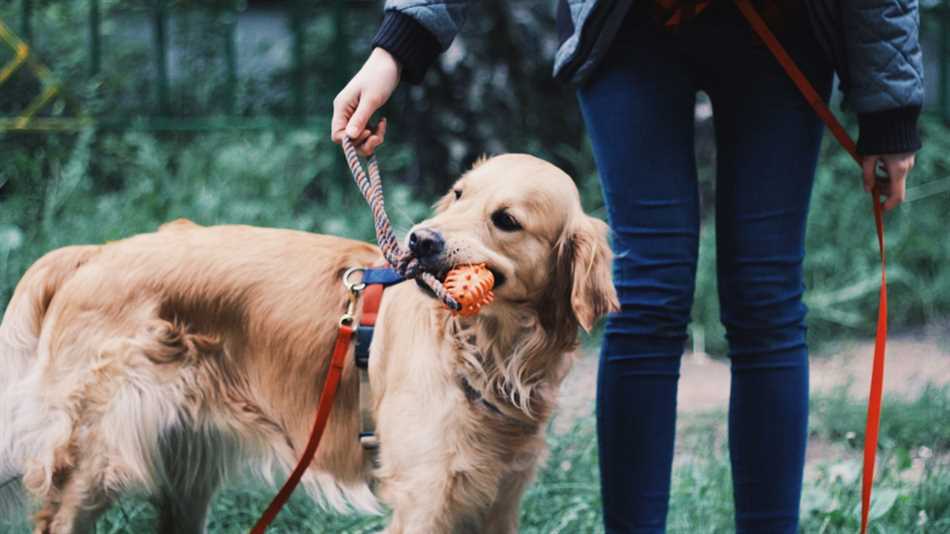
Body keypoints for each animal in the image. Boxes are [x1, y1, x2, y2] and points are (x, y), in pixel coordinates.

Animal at [0, 155, 620, 534]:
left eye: (506, 220)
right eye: (459, 195)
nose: (420, 240)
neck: (489, 353)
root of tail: (94, 253)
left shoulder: (499, 499)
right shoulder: (425, 495)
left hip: (186, 468)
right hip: (96, 460)